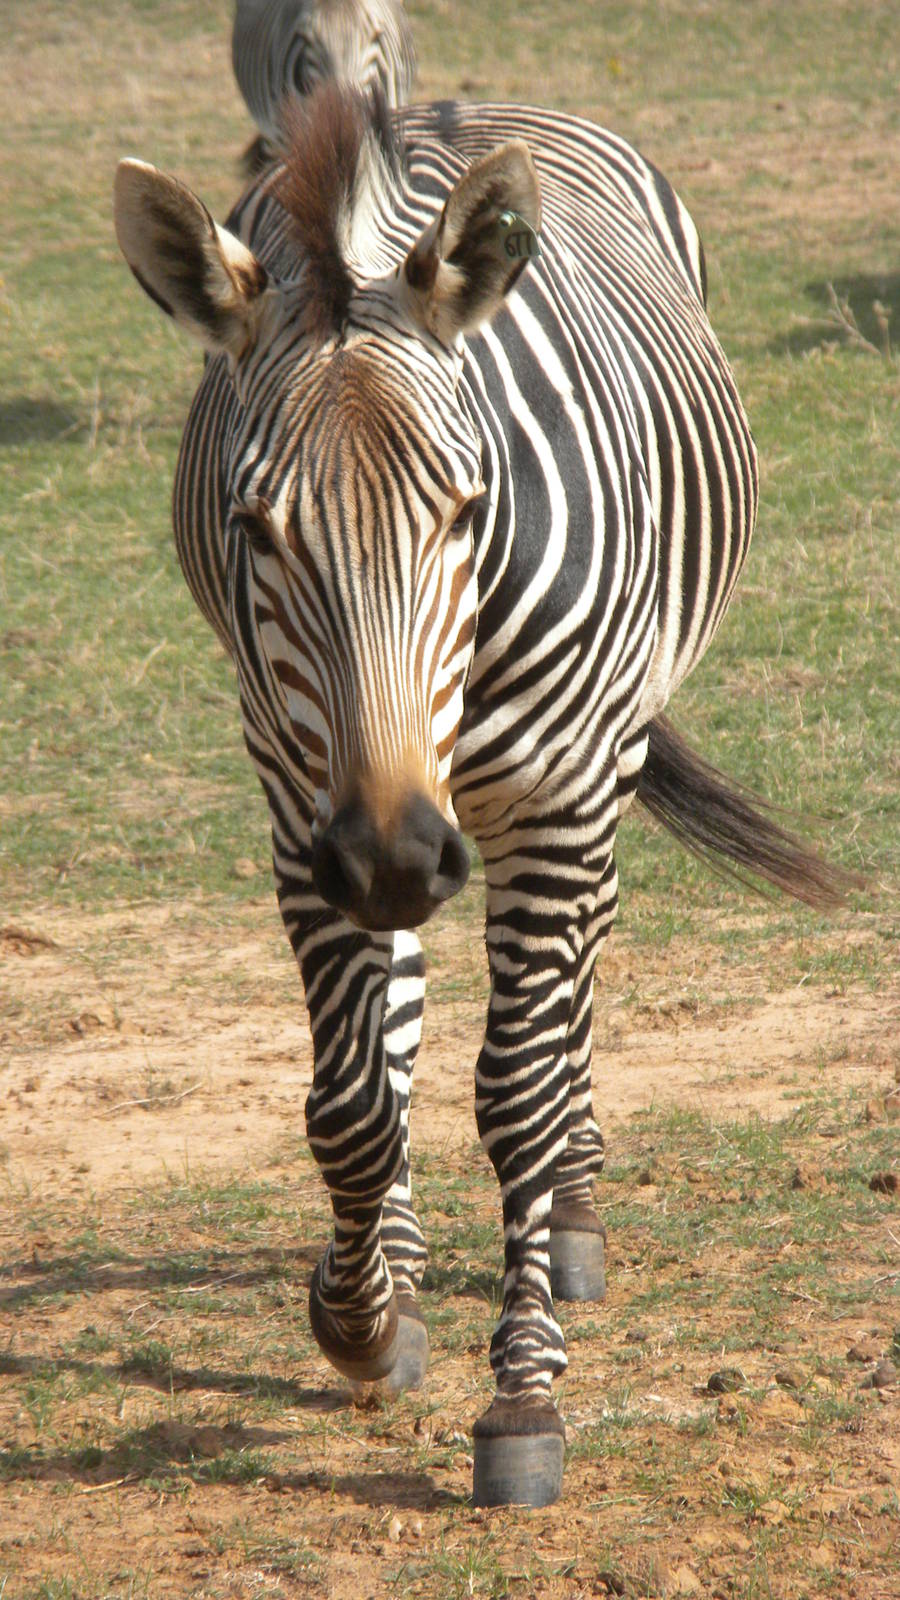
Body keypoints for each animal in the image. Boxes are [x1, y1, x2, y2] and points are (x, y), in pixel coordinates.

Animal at [114, 84, 843, 1507]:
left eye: (464, 506)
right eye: (254, 526)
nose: (396, 856)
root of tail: (468, 103)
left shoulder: (553, 795)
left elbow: (517, 1092)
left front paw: (523, 1397)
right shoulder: (302, 801)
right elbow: (350, 1101)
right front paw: (360, 1314)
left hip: (595, 759)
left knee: (573, 990)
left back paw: (573, 1210)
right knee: (394, 1017)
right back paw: (397, 1257)